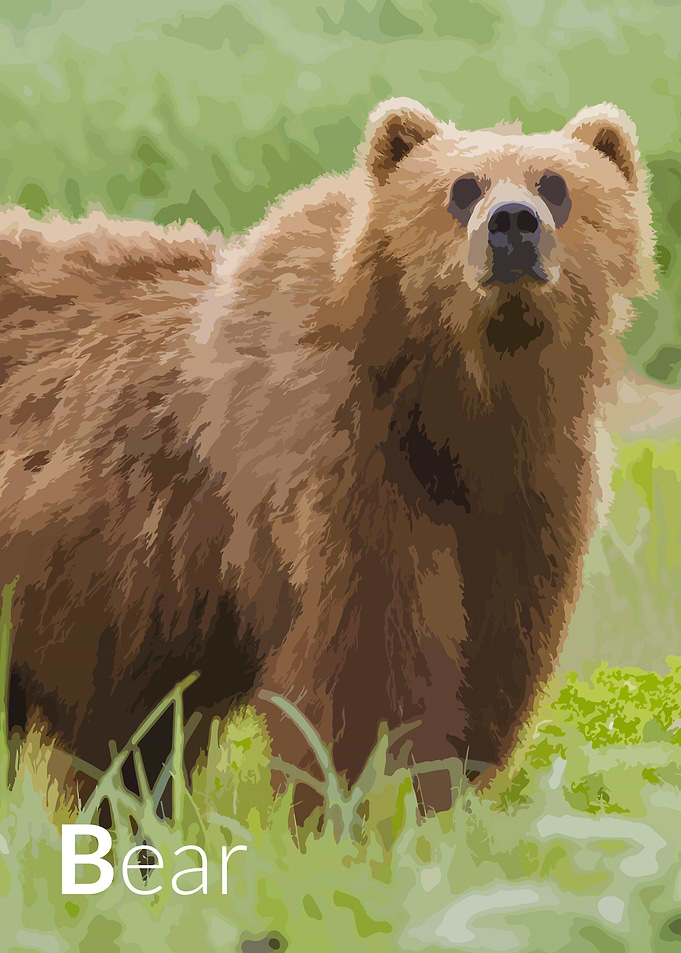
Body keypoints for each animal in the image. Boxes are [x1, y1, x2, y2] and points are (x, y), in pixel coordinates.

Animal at [0, 99, 656, 806]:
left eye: (555, 184)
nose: (513, 224)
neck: (458, 403)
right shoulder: (339, 460)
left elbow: (492, 654)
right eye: (463, 188)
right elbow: (367, 663)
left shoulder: (530, 490)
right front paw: (375, 797)